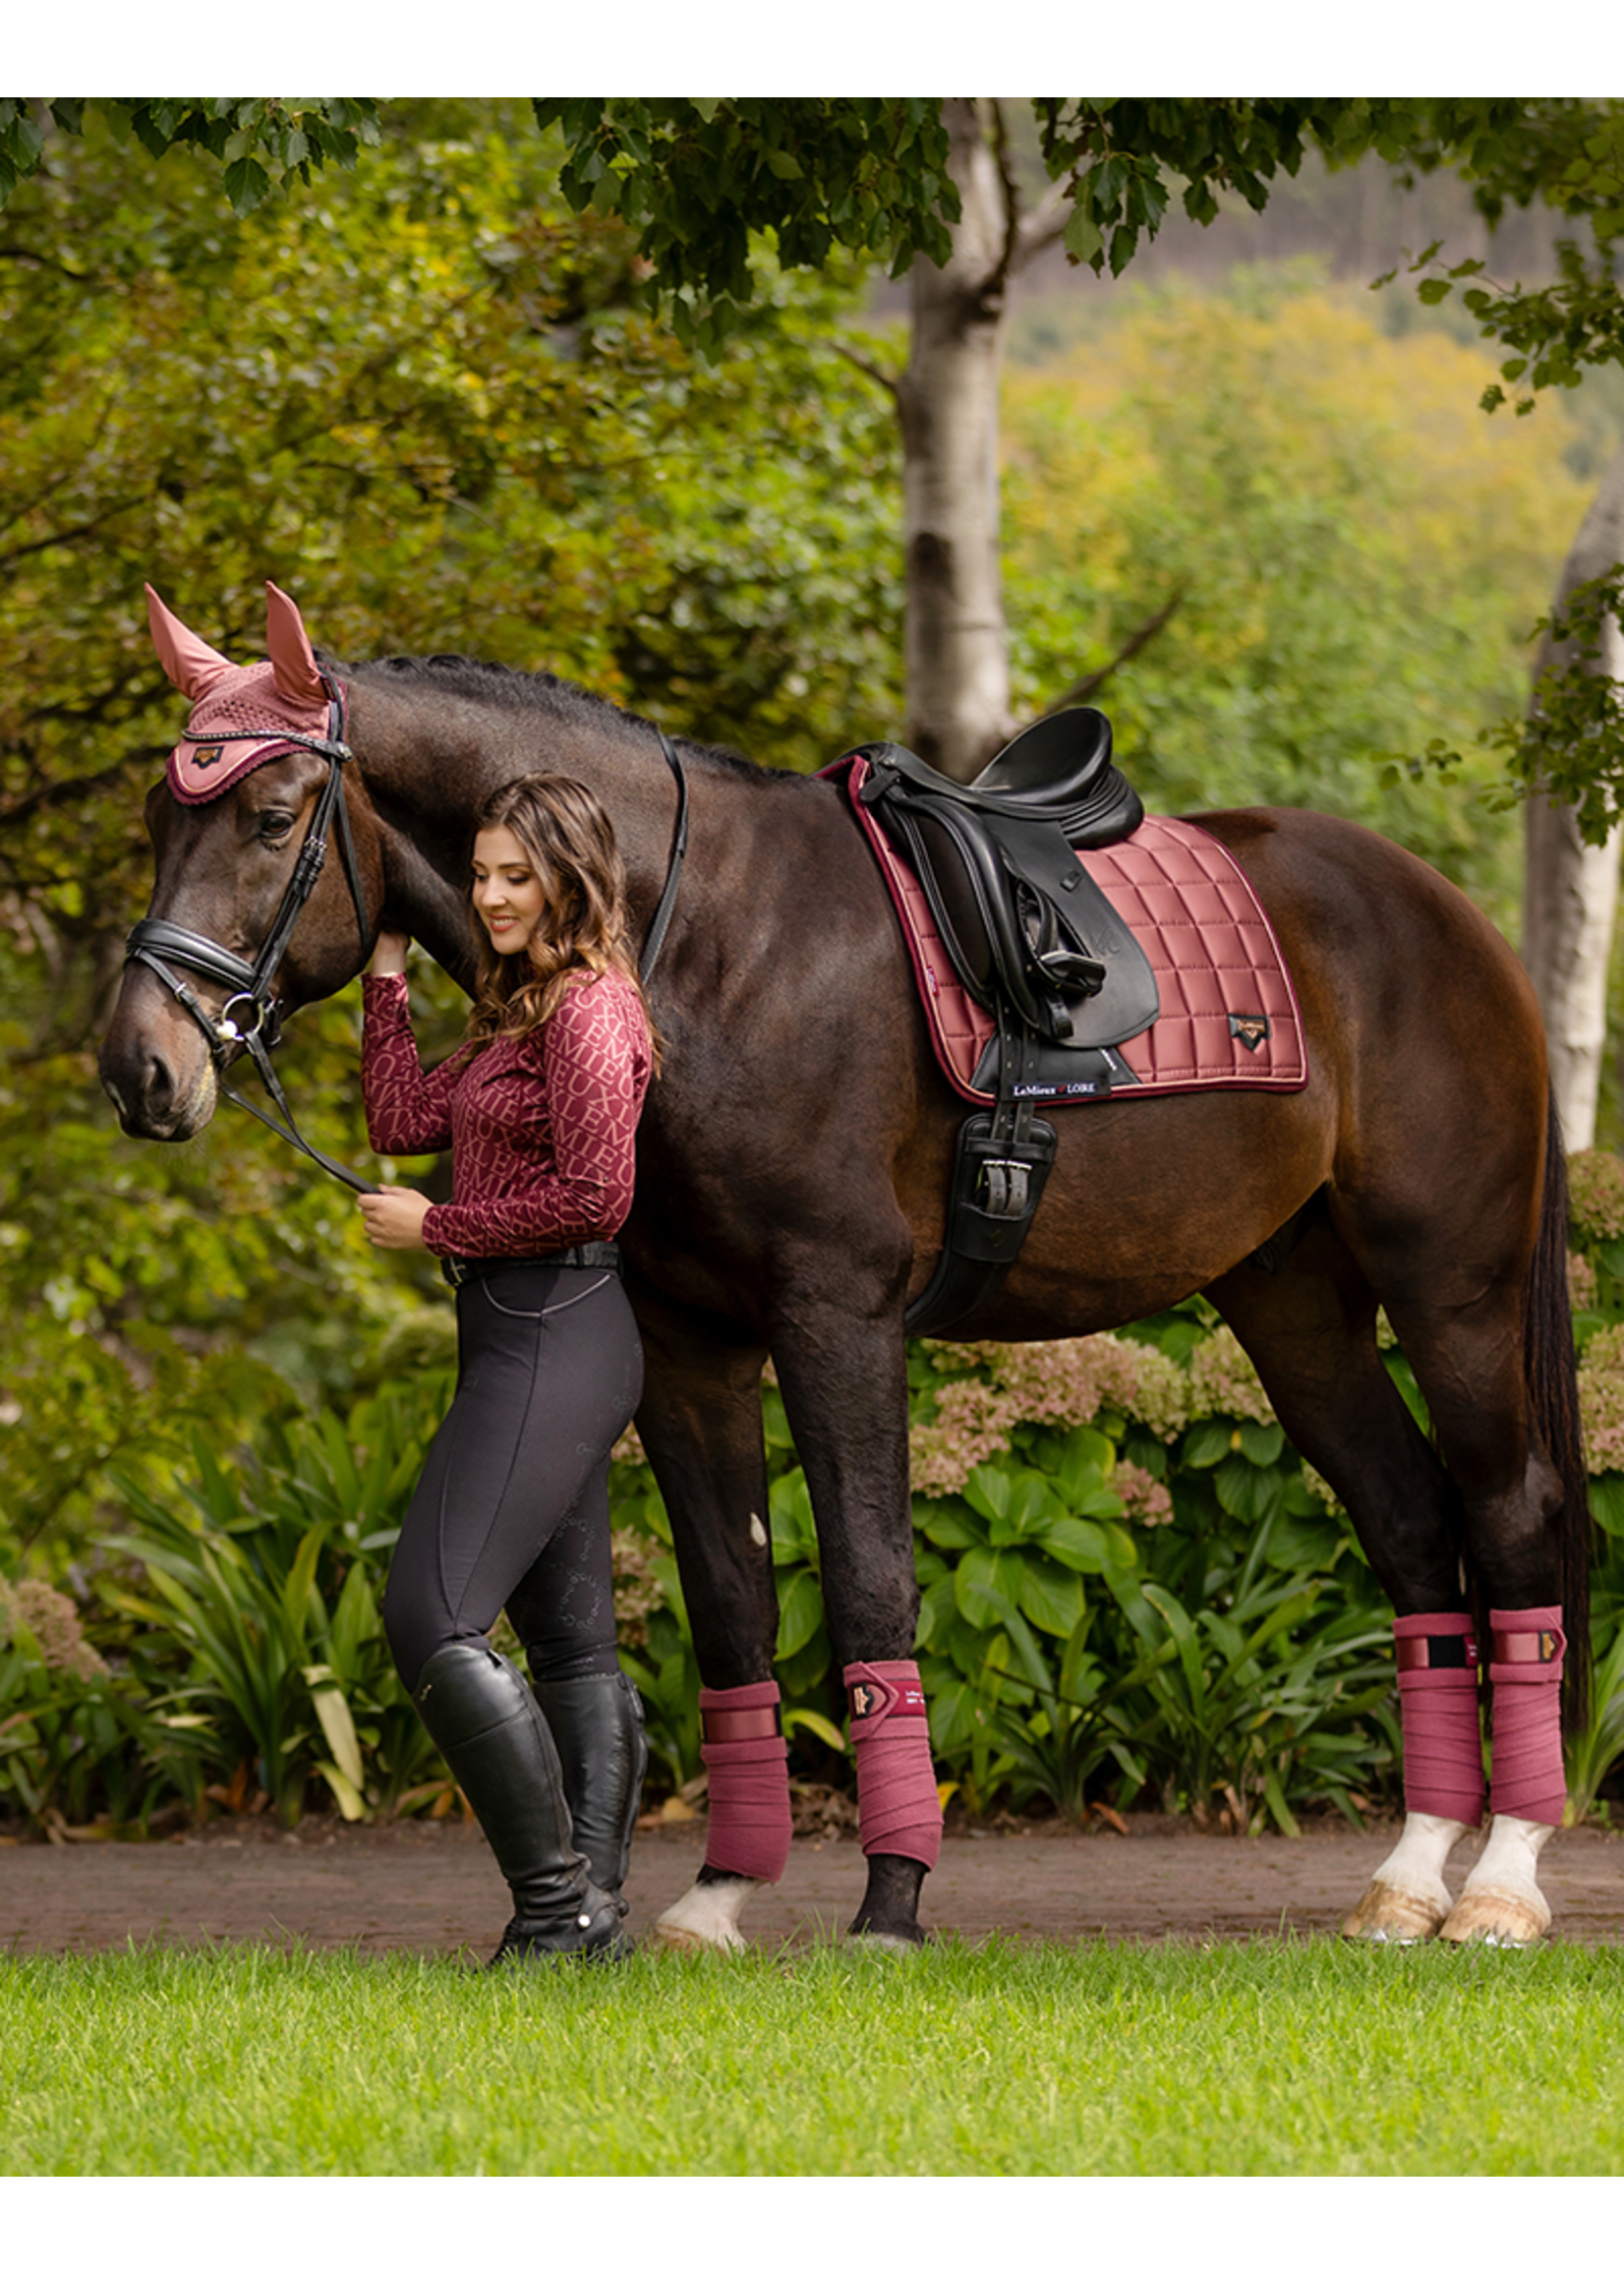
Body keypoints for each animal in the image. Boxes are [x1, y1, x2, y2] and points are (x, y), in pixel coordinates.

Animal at [97, 591, 1583, 1955]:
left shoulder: (837, 1317)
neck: (696, 944)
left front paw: (893, 1900)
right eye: (161, 819)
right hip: (1294, 1305)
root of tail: (1445, 916)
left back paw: (1501, 1886)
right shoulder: (688, 1342)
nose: (139, 1070)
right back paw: (1408, 1878)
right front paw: (717, 1893)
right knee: (1412, 1529)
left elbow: (871, 1584)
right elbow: (733, 1610)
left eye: (272, 815)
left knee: (1511, 1522)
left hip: (1451, 1293)